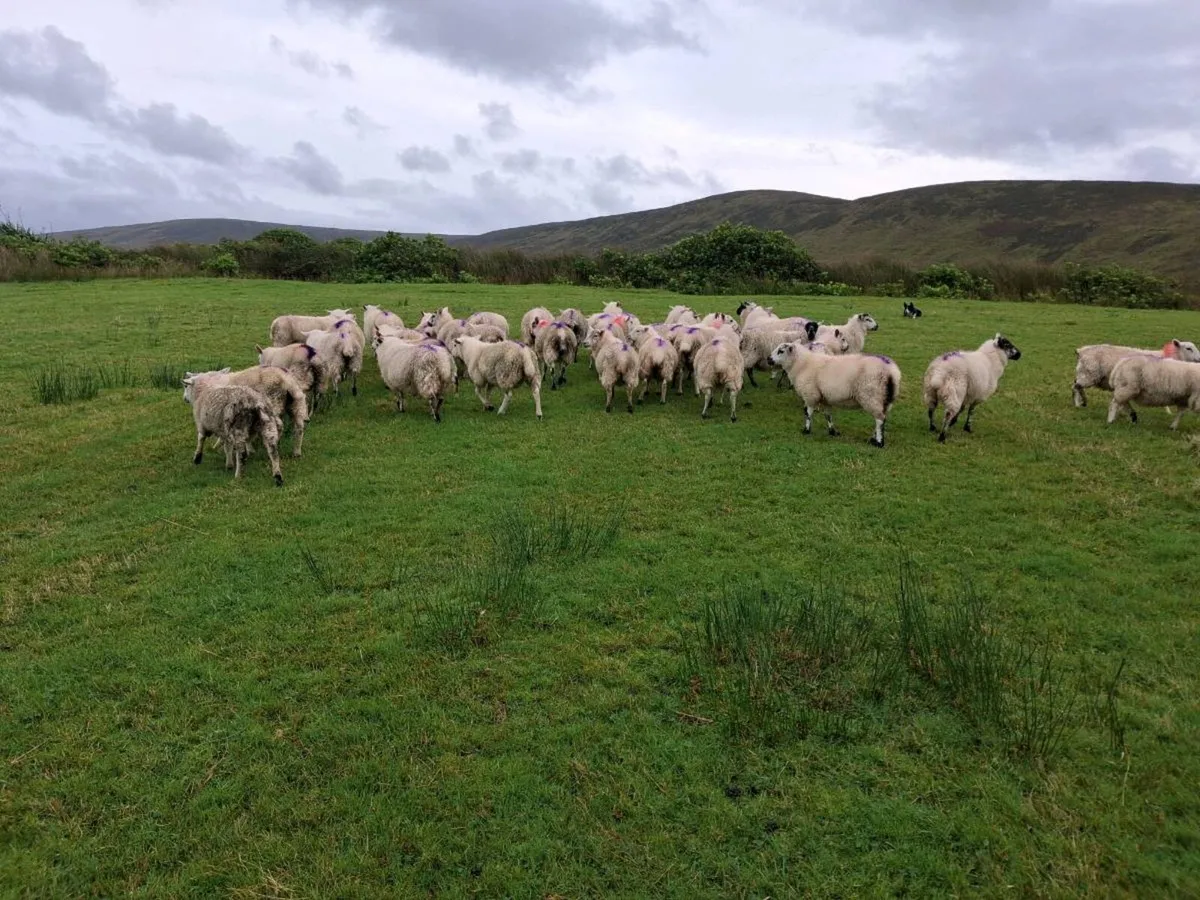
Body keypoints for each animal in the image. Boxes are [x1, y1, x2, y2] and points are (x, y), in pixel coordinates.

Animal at [770, 343, 901, 447]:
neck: (802, 364)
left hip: (872, 395)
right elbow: (828, 415)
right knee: (882, 418)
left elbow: (808, 413)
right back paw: (874, 438)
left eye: (781, 351)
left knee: (880, 419)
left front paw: (806, 430)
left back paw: (879, 442)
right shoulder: (825, 398)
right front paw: (832, 432)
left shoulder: (810, 394)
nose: (768, 359)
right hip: (886, 399)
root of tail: (891, 372)